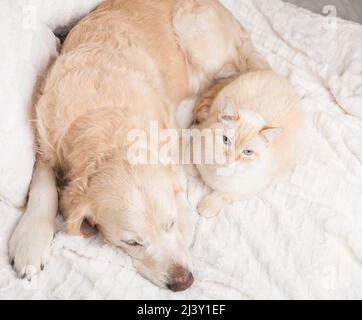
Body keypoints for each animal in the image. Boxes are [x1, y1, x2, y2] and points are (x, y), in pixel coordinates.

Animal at [7, 0, 268, 292]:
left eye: (170, 224)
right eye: (132, 242)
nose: (182, 281)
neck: (105, 127)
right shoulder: (47, 140)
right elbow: (42, 186)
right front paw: (30, 241)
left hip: (196, 35)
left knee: (235, 70)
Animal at [192, 70, 306, 218]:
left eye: (247, 152)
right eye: (226, 140)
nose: (230, 159)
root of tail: (277, 75)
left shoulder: (248, 189)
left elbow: (223, 195)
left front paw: (207, 206)